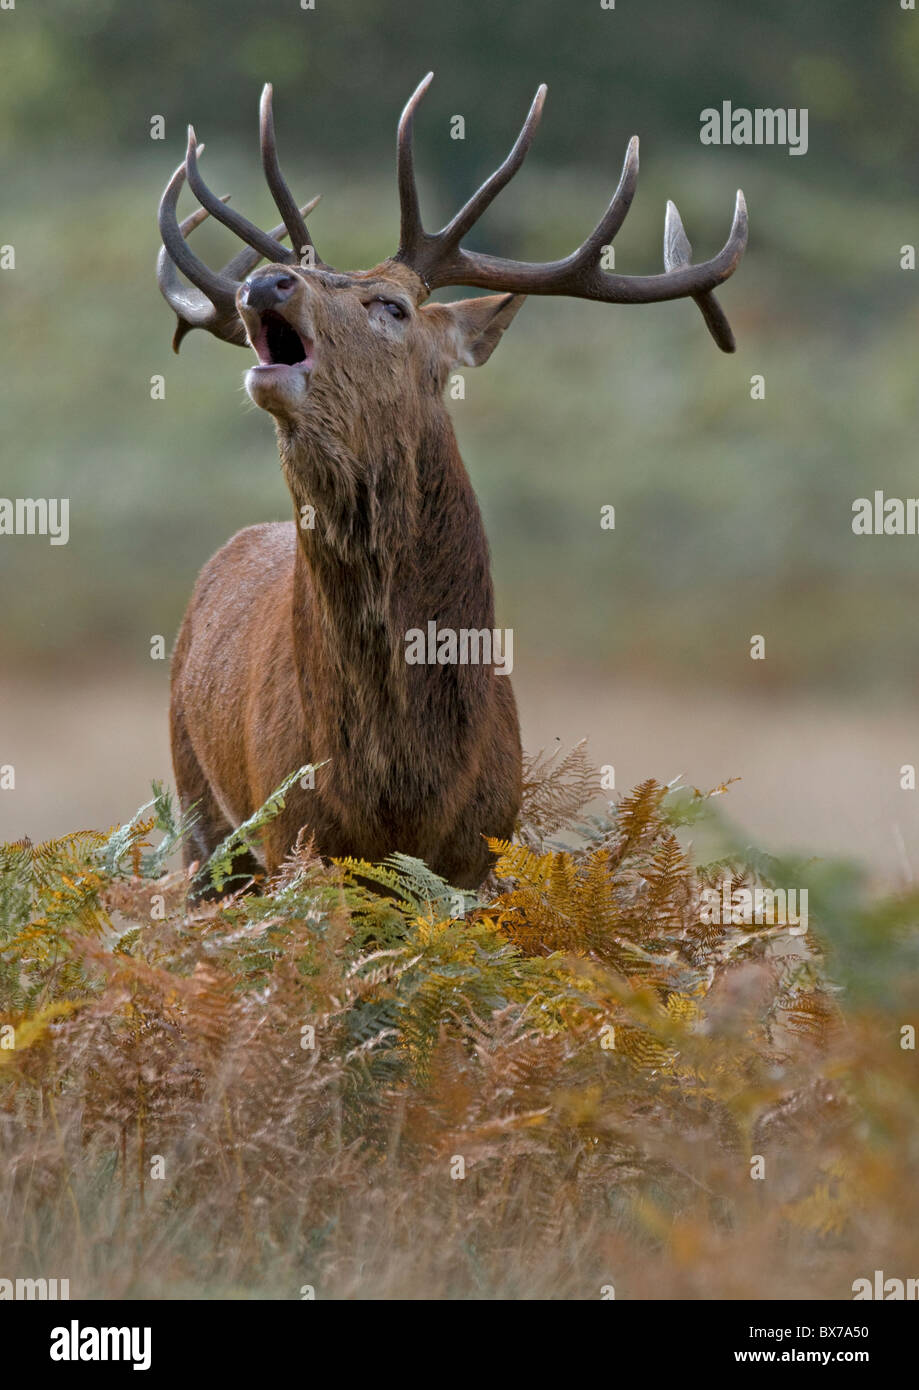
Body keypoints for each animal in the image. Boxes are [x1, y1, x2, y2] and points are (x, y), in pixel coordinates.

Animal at [156, 75, 747, 892]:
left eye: (392, 306)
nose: (263, 282)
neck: (403, 784)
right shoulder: (293, 838)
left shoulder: (480, 850)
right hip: (202, 817)